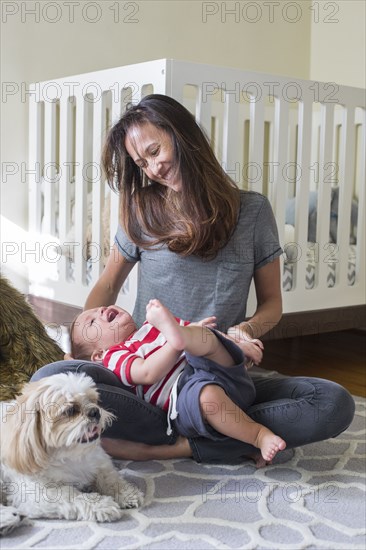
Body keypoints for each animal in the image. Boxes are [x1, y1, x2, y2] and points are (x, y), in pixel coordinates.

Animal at [0, 374, 143, 536]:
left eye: (93, 400)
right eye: (70, 410)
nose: (95, 411)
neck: (70, 455)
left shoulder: (99, 462)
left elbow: (110, 478)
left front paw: (127, 493)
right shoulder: (37, 493)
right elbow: (71, 495)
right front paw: (102, 505)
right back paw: (8, 518)